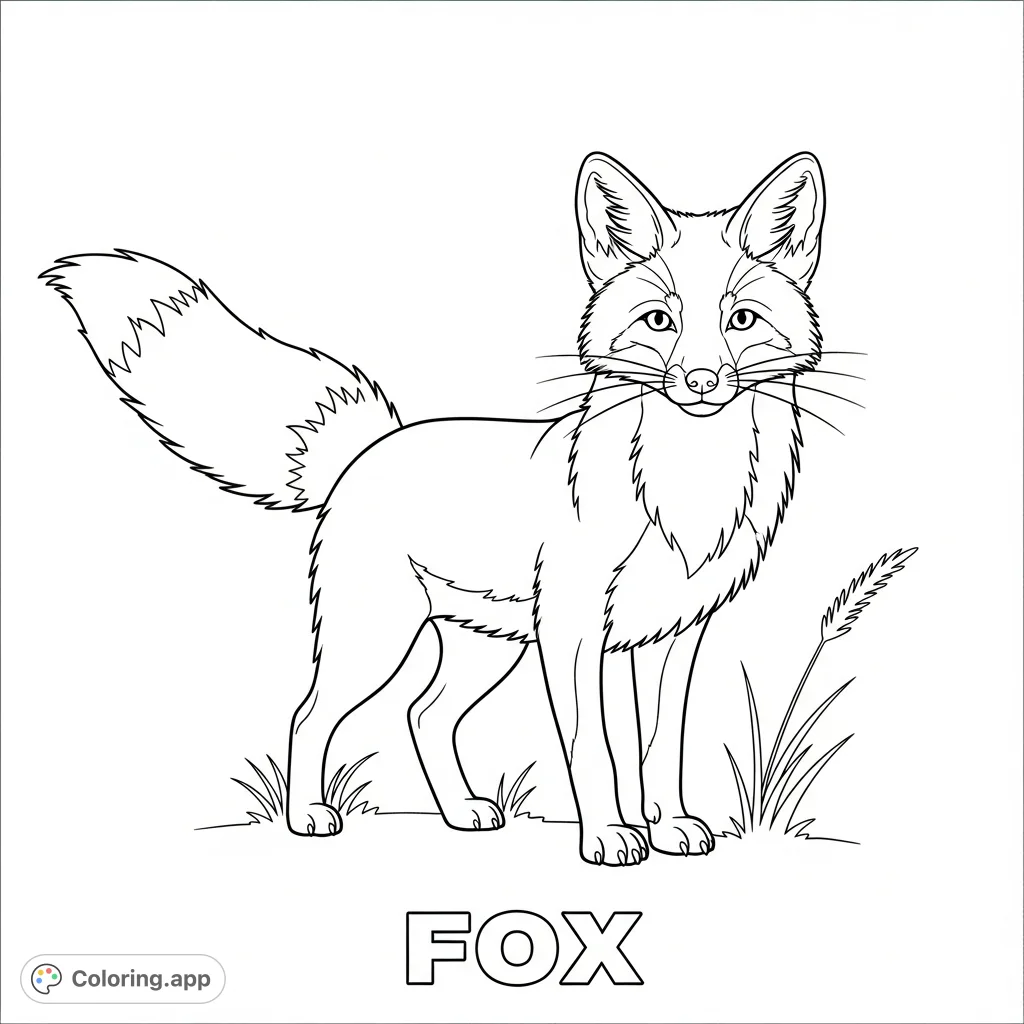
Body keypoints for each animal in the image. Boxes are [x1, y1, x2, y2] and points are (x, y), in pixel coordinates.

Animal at [42, 150, 826, 866]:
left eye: (743, 320)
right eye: (658, 321)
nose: (702, 381)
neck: (687, 493)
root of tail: (371, 445)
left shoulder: (670, 638)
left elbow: (659, 750)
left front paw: (668, 828)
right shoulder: (573, 635)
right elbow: (593, 750)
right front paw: (608, 838)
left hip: (485, 647)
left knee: (424, 715)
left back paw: (463, 812)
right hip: (377, 642)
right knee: (309, 715)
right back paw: (309, 817)